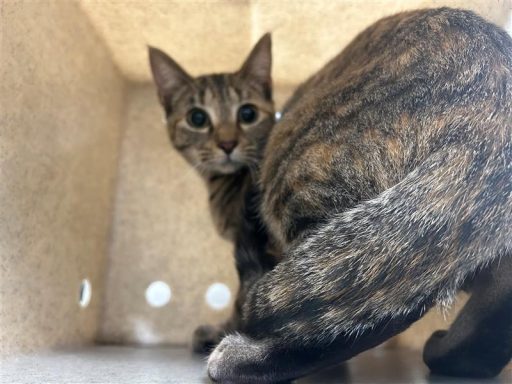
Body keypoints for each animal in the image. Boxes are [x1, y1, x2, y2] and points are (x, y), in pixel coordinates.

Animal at [148, 34, 278, 352]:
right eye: (197, 118)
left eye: (247, 113)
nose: (228, 143)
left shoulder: (251, 240)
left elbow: (245, 298)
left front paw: (224, 331)